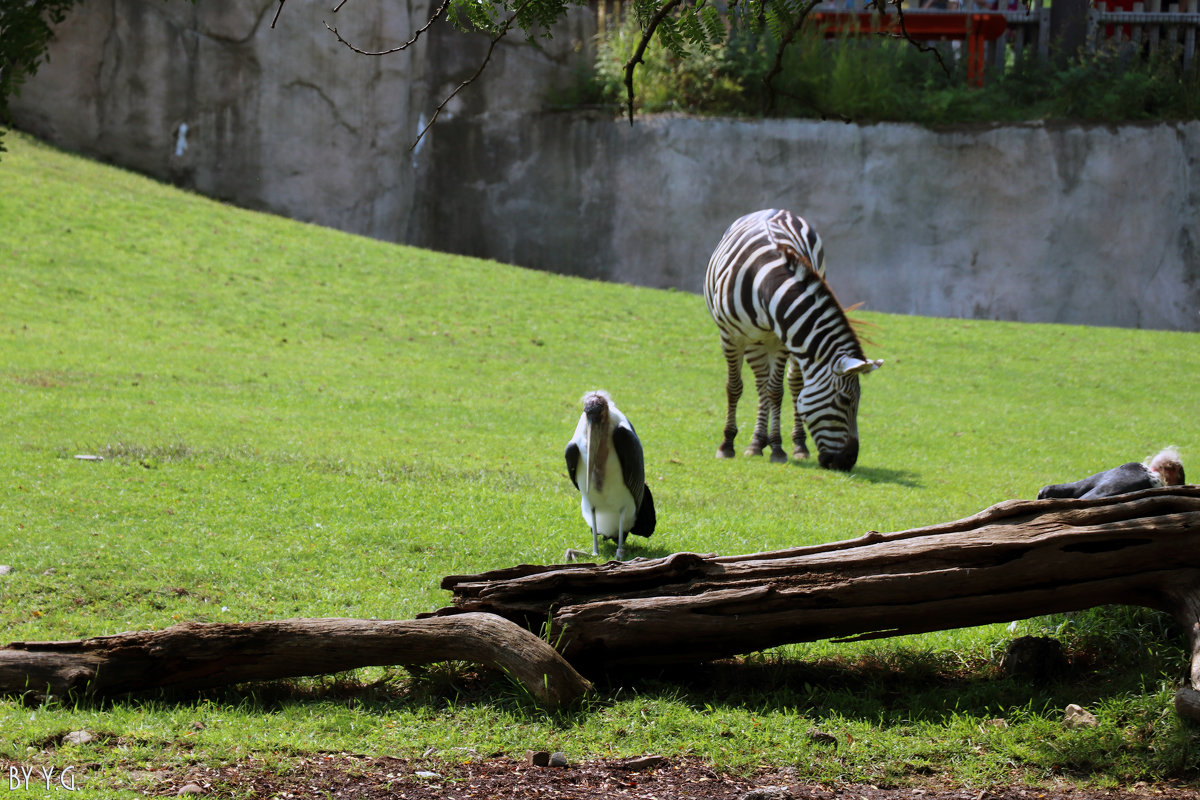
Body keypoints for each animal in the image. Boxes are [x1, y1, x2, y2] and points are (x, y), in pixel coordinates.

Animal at [700, 209, 883, 472]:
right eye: (845, 399)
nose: (848, 462)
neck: (765, 282)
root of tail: (776, 209)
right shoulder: (730, 336)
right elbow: (734, 388)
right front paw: (727, 445)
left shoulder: (783, 339)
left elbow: (777, 391)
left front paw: (777, 448)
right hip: (754, 341)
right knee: (760, 384)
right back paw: (756, 443)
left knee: (791, 385)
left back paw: (797, 445)